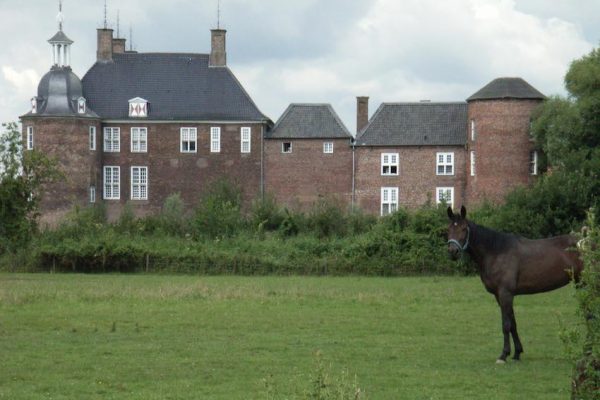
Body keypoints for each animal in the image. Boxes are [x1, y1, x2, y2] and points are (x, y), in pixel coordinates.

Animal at [448, 206, 584, 362]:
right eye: (448, 228)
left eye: (464, 229)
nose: (453, 251)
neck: (496, 251)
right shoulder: (500, 295)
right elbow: (513, 323)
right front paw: (517, 353)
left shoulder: (505, 293)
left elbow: (506, 324)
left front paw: (503, 355)